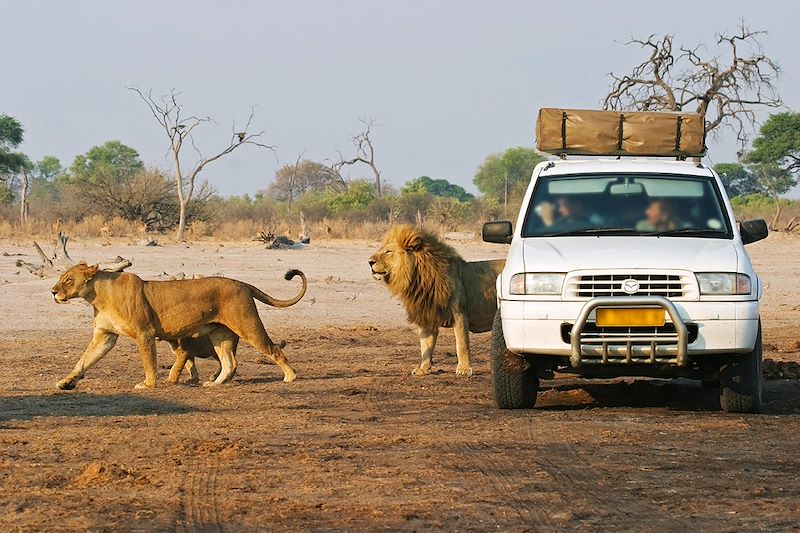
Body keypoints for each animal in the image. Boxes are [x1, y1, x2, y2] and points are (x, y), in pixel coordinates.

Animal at [50, 262, 306, 390]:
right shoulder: (105, 335)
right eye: (61, 278)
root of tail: (242, 282)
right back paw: (214, 383)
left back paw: (290, 376)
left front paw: (148, 384)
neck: (98, 295)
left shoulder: (144, 333)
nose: (53, 292)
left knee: (274, 349)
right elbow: (84, 360)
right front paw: (66, 382)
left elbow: (149, 362)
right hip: (220, 335)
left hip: (248, 325)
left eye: (68, 280)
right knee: (229, 363)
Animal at [368, 227, 504, 376]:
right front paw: (423, 368)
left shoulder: (459, 314)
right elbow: (426, 345)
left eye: (388, 252)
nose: (369, 262)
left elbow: (462, 344)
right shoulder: (426, 316)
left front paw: (464, 369)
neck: (419, 279)